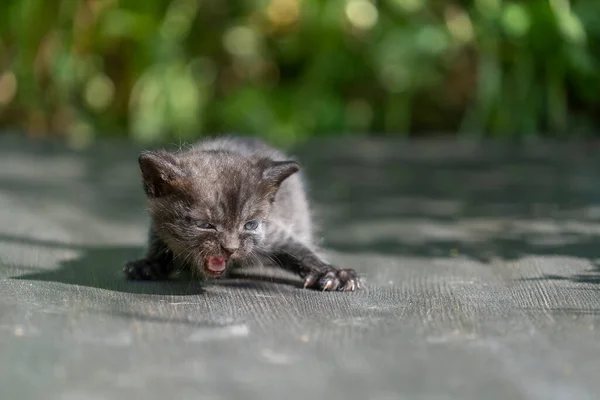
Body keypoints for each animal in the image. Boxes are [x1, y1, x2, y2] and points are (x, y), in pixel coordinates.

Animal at [124, 136, 360, 292]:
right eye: (205, 225)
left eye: (250, 225)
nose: (231, 248)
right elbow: (158, 242)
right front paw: (149, 264)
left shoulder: (274, 231)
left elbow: (300, 250)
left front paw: (333, 273)